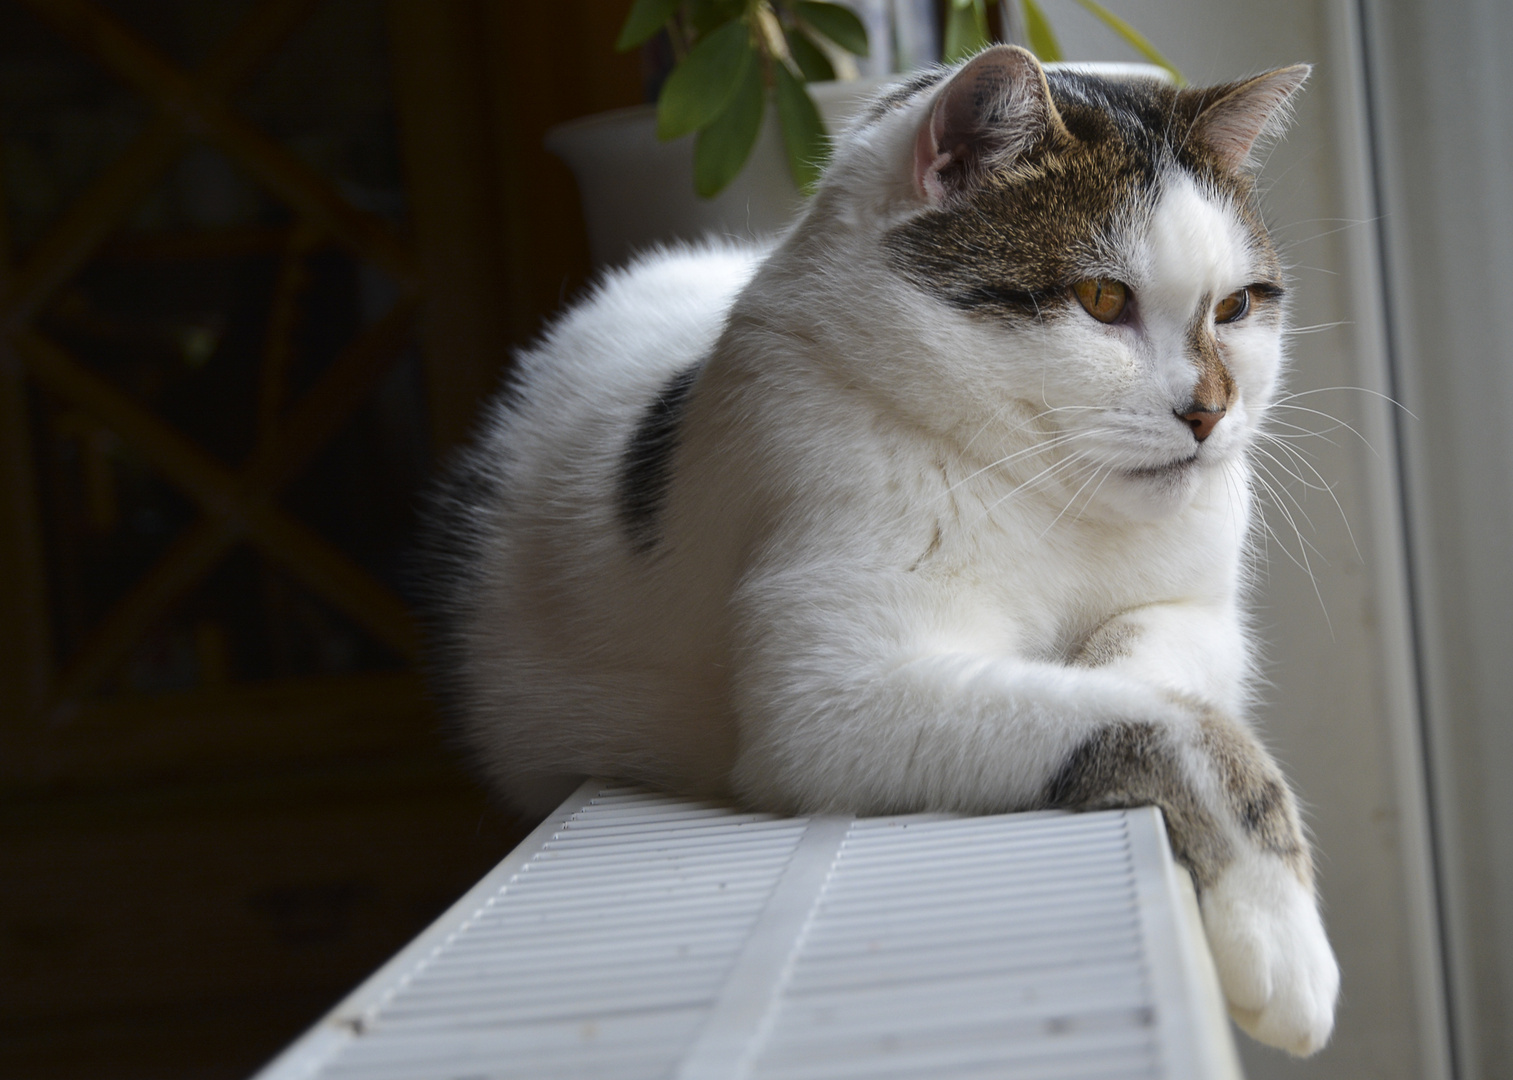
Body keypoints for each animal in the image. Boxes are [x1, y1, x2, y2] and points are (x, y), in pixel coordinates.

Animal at [426, 44, 1337, 1052]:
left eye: (1237, 306)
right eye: (1103, 299)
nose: (1211, 413)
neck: (1044, 495)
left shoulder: (1198, 609)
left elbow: (1158, 669)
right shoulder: (831, 701)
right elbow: (1168, 723)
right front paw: (1278, 941)